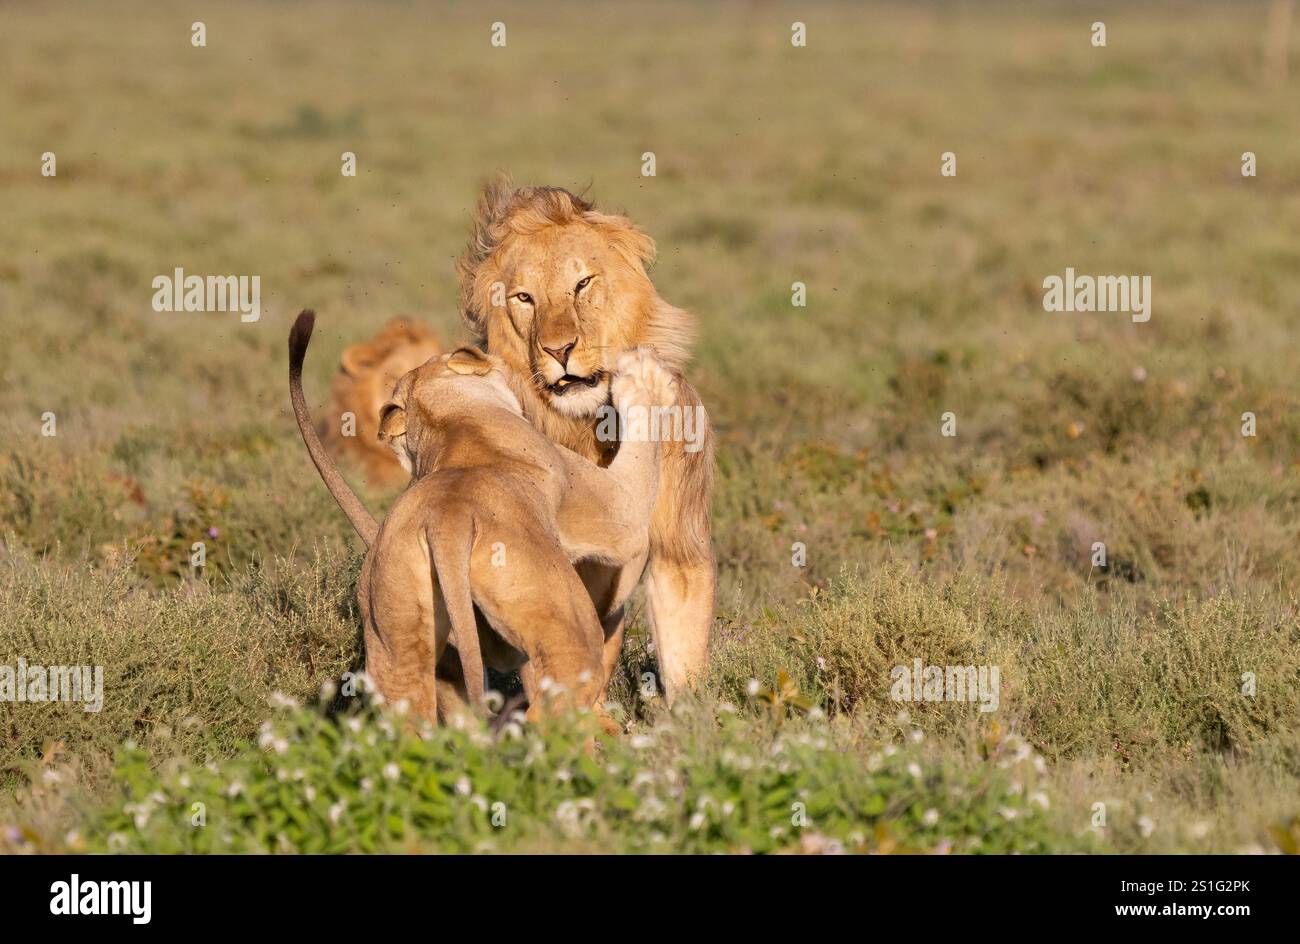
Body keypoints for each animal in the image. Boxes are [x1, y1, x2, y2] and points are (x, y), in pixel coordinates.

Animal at [455, 178, 715, 703]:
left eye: (582, 284)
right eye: (524, 298)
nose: (559, 349)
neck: (585, 424)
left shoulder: (675, 542)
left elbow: (684, 652)